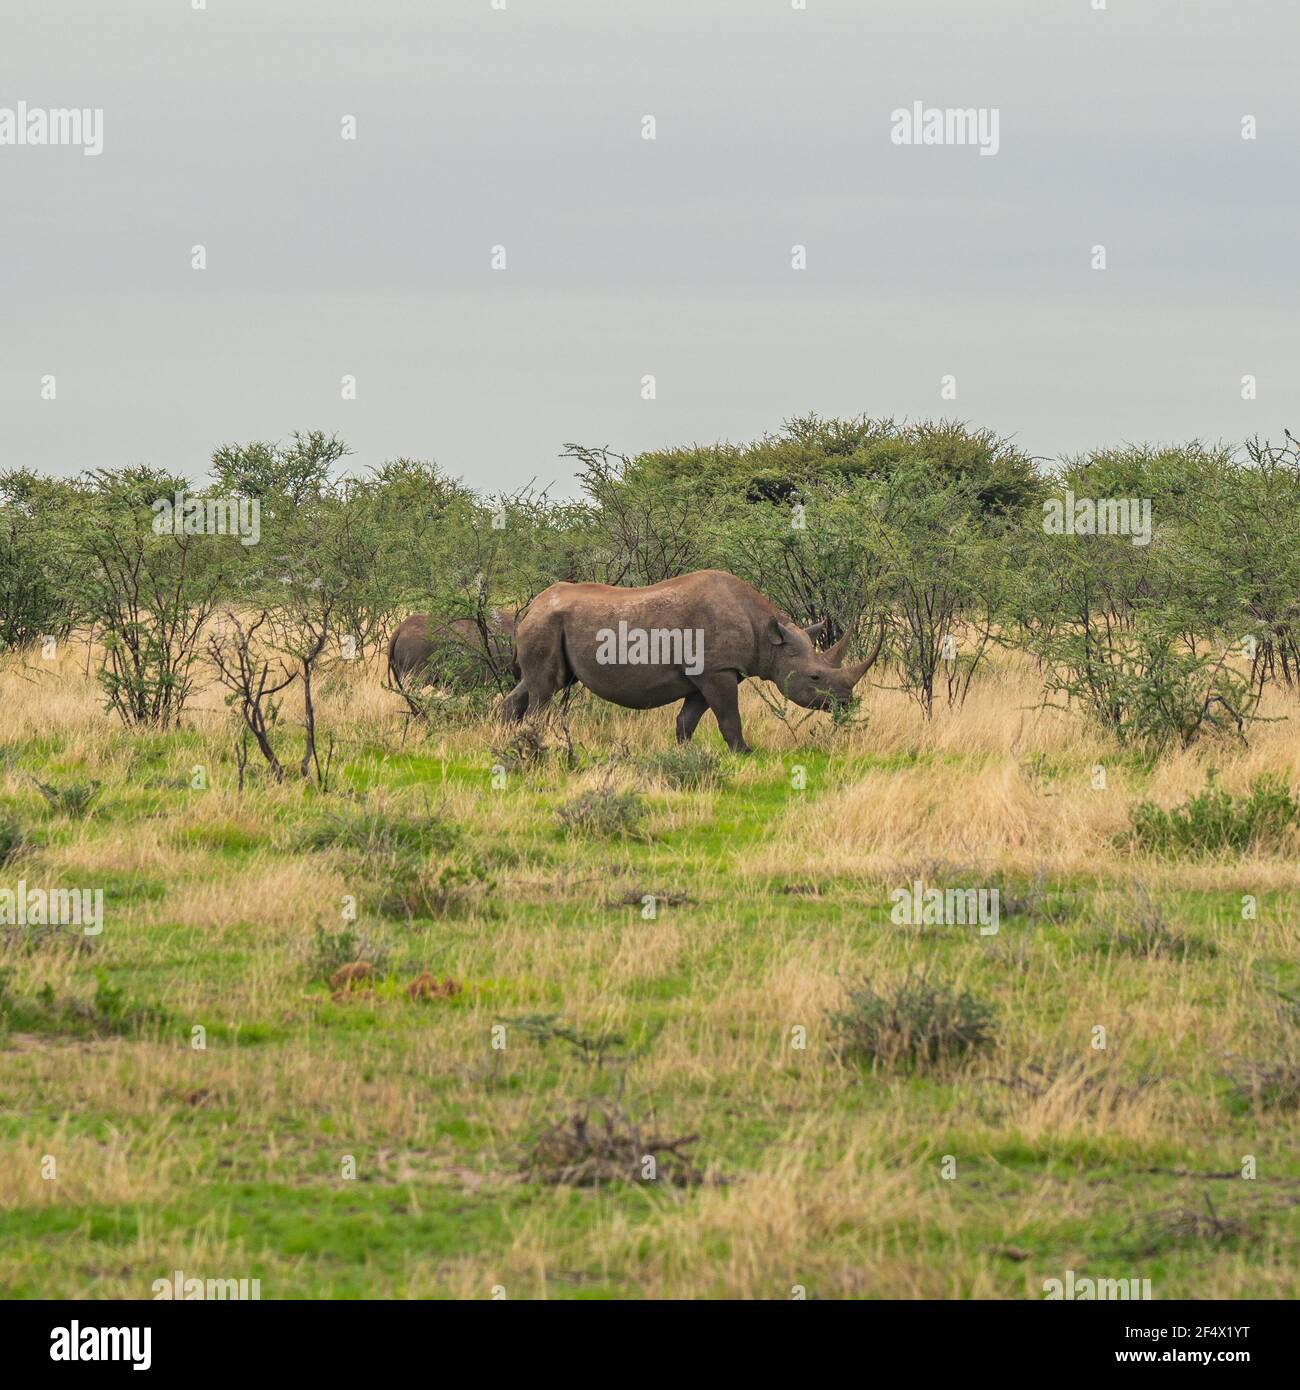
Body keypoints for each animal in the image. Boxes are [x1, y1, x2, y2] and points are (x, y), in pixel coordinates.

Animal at [497, 569, 884, 756]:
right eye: (816, 677)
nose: (846, 703)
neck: (767, 634)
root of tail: (531, 606)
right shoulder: (718, 671)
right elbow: (729, 717)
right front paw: (745, 753)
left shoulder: (710, 673)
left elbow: (688, 720)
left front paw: (686, 753)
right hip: (545, 624)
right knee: (545, 689)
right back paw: (536, 747)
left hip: (546, 623)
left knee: (534, 684)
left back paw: (505, 740)